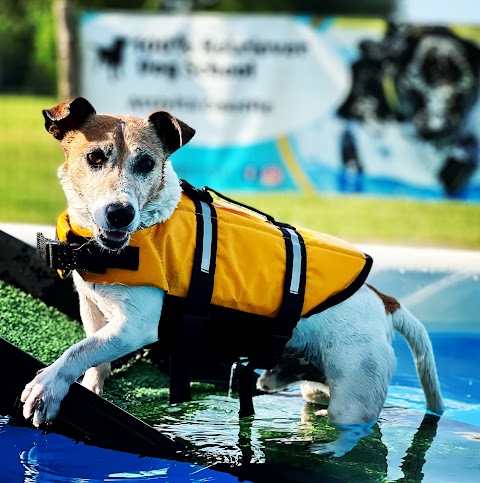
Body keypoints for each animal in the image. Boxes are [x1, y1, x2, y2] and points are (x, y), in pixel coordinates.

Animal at [20, 98, 444, 458]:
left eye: (146, 163)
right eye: (94, 157)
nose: (120, 213)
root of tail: (383, 301)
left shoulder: (135, 326)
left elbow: (77, 351)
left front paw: (47, 386)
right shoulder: (93, 308)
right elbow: (93, 356)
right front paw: (90, 387)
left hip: (354, 398)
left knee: (359, 432)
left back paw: (328, 450)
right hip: (315, 385)